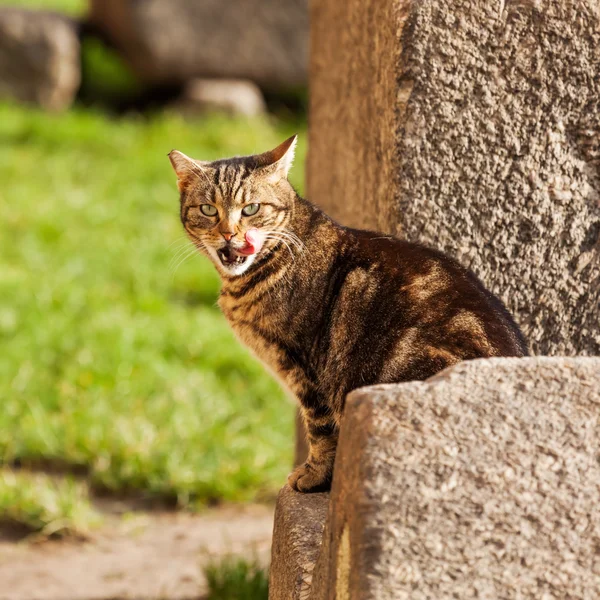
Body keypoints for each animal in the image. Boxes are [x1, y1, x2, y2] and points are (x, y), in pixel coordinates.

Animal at [166, 136, 528, 492]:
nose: (229, 233)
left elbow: (321, 429)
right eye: (209, 209)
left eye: (251, 208)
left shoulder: (307, 370)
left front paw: (313, 476)